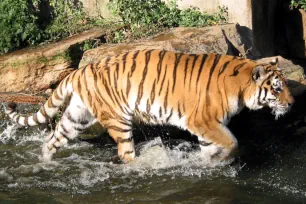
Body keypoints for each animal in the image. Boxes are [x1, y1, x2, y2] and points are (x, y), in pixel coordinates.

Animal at [5, 49, 294, 164]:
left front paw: (209, 162)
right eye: (277, 88)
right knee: (125, 154)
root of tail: (80, 70)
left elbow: (210, 148)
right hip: (118, 119)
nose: (292, 103)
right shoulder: (203, 121)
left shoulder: (206, 127)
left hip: (76, 117)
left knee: (52, 140)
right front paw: (222, 159)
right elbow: (232, 141)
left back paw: (44, 162)